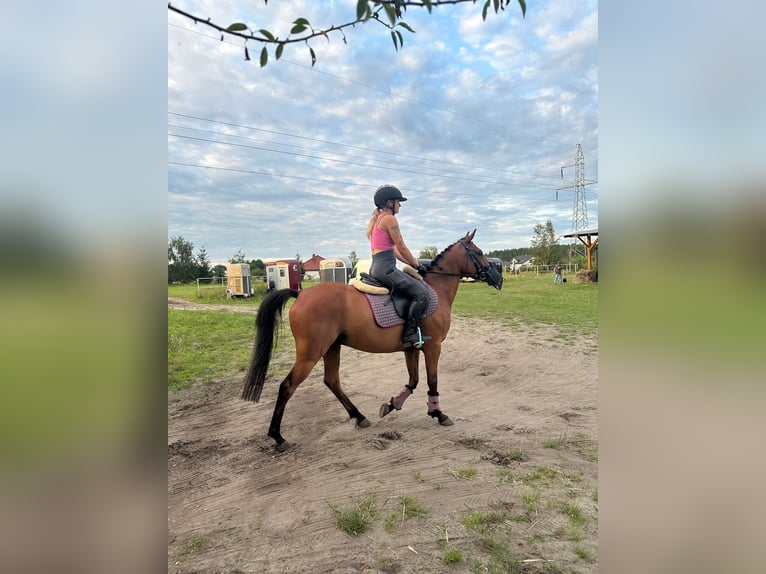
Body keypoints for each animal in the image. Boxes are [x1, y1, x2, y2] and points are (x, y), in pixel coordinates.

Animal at [241, 230, 503, 451]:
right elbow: (432, 381)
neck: (435, 291)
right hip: (311, 353)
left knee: (332, 380)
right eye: (480, 252)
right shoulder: (433, 347)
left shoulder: (411, 349)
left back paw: (359, 417)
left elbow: (413, 381)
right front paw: (438, 414)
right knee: (287, 386)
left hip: (331, 347)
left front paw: (392, 404)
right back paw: (278, 436)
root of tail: (301, 294)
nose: (498, 278)